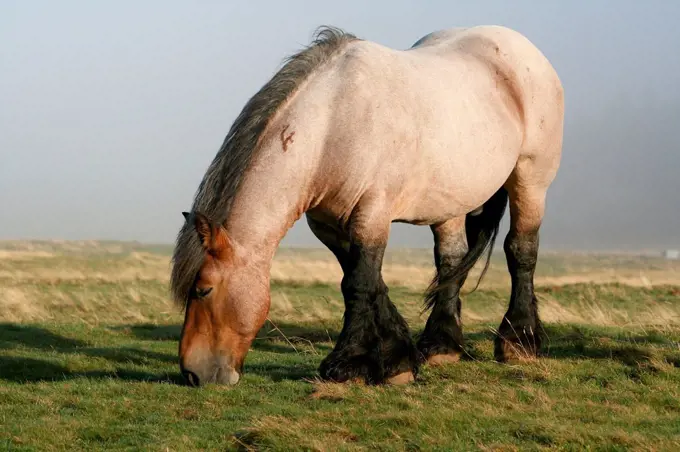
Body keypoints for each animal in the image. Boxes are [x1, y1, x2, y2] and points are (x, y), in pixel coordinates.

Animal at [169, 24, 564, 386]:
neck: (332, 125)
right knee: (451, 260)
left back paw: (518, 343)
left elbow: (359, 283)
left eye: (203, 289)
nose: (192, 374)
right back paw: (441, 345)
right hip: (449, 201)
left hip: (530, 180)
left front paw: (348, 365)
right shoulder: (329, 225)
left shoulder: (372, 213)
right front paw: (397, 360)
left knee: (521, 250)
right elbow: (367, 281)